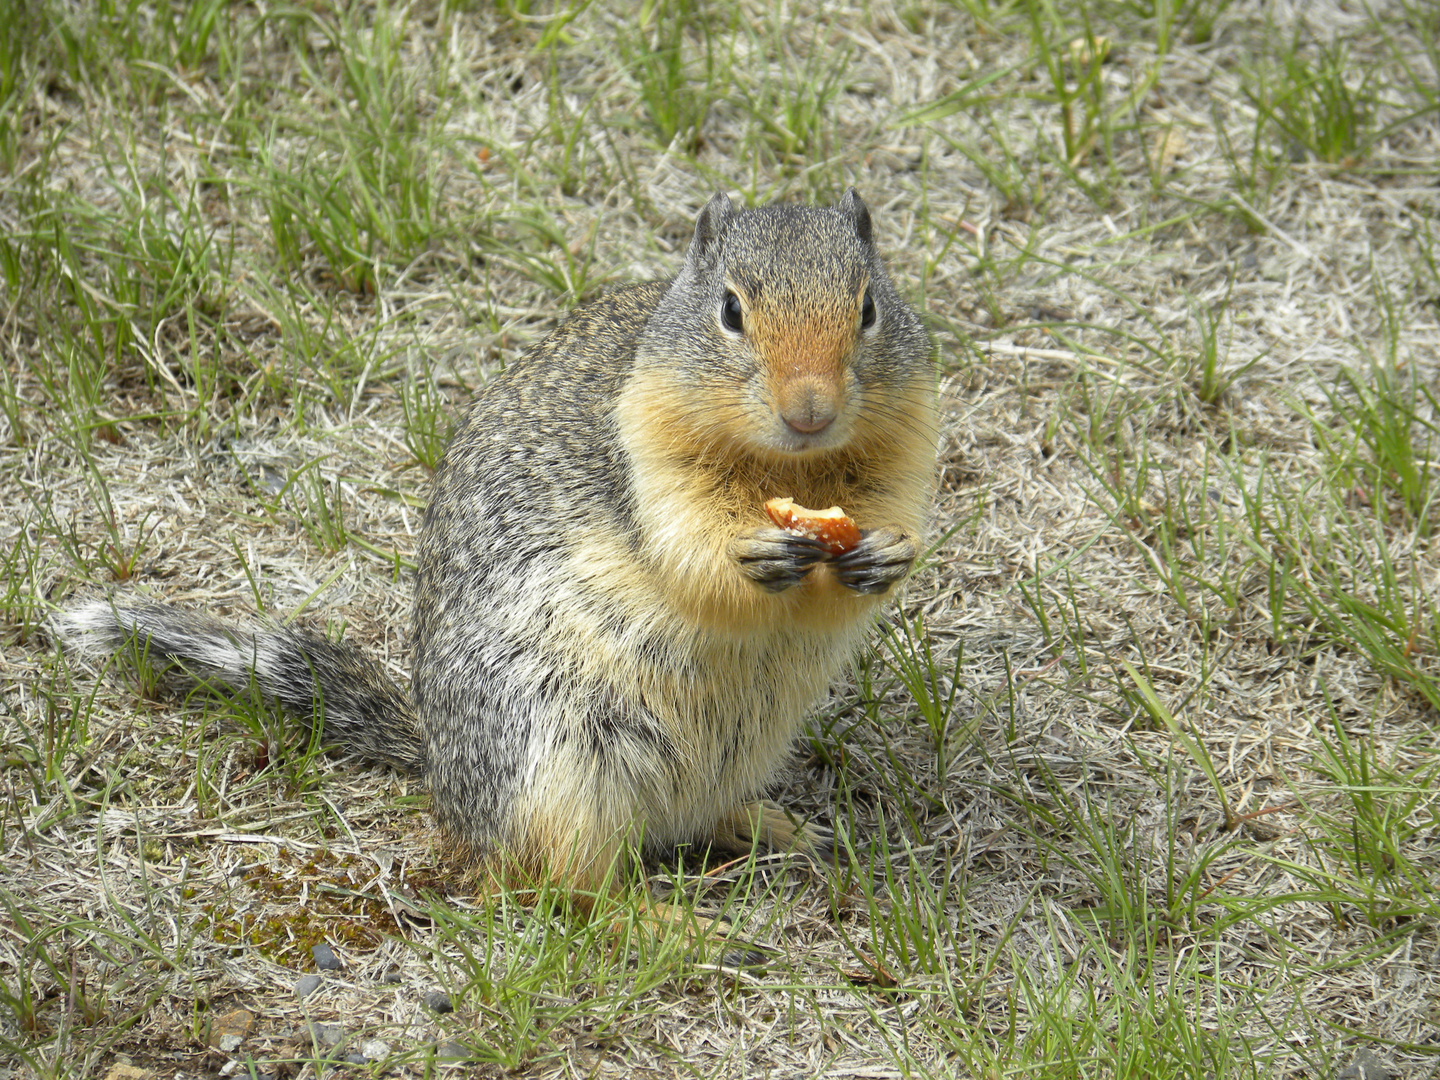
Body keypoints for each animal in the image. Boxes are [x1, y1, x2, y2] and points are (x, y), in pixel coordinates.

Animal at [56, 192, 938, 915]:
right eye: (729, 309)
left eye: (869, 307)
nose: (809, 409)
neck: (794, 470)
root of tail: (446, 779)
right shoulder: (646, 454)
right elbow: (685, 544)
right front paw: (748, 551)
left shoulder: (905, 448)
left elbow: (888, 525)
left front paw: (891, 552)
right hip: (559, 764)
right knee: (568, 890)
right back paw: (675, 929)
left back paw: (777, 827)